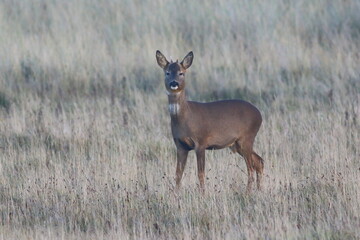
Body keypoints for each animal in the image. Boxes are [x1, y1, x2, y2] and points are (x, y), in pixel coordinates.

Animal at [155, 50, 264, 193]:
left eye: (181, 73)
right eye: (167, 72)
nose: (174, 83)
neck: (186, 117)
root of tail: (259, 114)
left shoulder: (201, 142)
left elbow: (201, 173)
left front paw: (203, 194)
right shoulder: (180, 145)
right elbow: (178, 174)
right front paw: (176, 194)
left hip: (247, 138)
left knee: (251, 168)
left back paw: (248, 193)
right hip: (237, 144)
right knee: (259, 161)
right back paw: (259, 190)